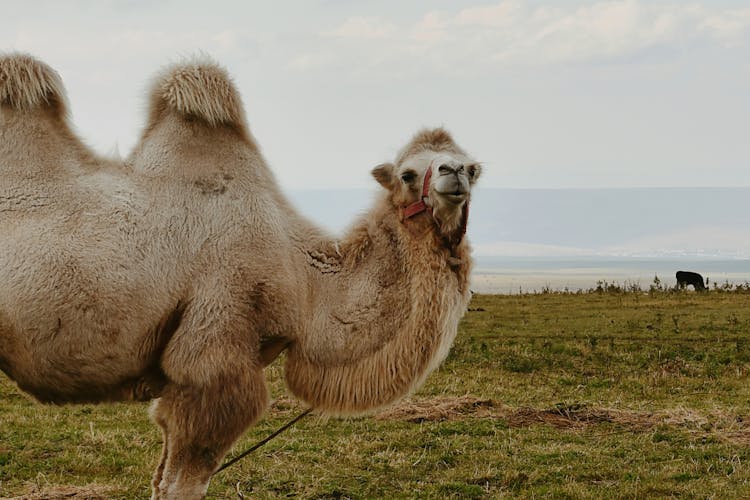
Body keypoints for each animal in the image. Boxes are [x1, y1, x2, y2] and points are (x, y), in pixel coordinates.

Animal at [0, 52, 482, 498]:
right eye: (407, 173)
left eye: (473, 167)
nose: (453, 173)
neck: (306, 281)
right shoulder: (214, 352)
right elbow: (182, 485)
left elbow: (161, 477)